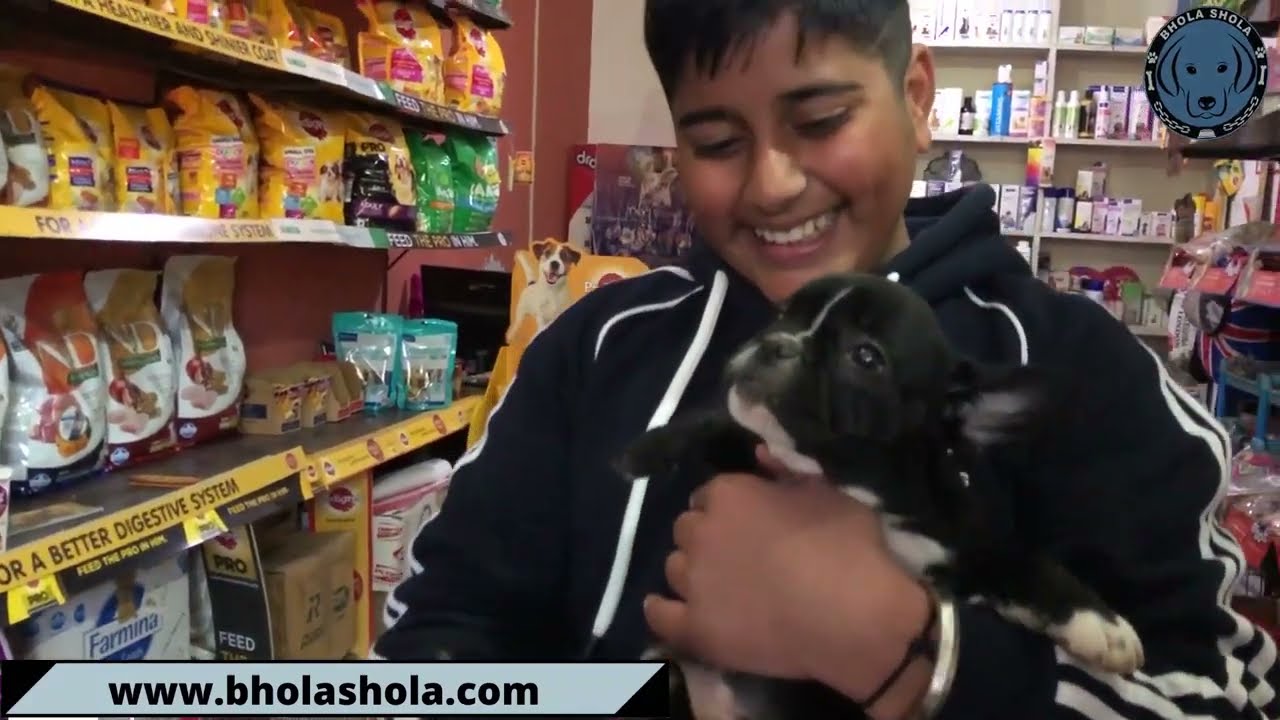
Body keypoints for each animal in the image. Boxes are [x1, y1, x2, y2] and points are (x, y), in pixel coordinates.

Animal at [617, 273, 1144, 720]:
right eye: (783, 313)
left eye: (866, 357)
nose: (773, 342)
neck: (851, 488)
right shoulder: (751, 454)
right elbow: (714, 422)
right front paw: (645, 449)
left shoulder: (959, 550)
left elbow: (1023, 560)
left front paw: (1101, 624)